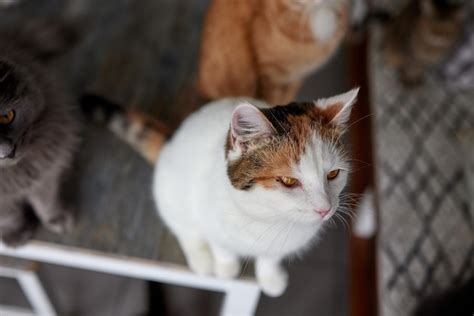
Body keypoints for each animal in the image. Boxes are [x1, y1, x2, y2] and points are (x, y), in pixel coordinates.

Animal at [0, 22, 79, 247]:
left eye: (7, 116)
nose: (7, 151)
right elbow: (8, 216)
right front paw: (15, 234)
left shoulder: (45, 174)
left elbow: (46, 201)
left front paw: (57, 218)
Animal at [81, 88, 358, 296]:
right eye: (288, 180)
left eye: (333, 174)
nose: (325, 209)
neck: (268, 218)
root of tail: (172, 138)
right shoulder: (208, 216)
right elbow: (221, 246)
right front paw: (226, 268)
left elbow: (270, 258)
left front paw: (270, 277)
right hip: (170, 195)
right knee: (185, 229)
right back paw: (201, 259)